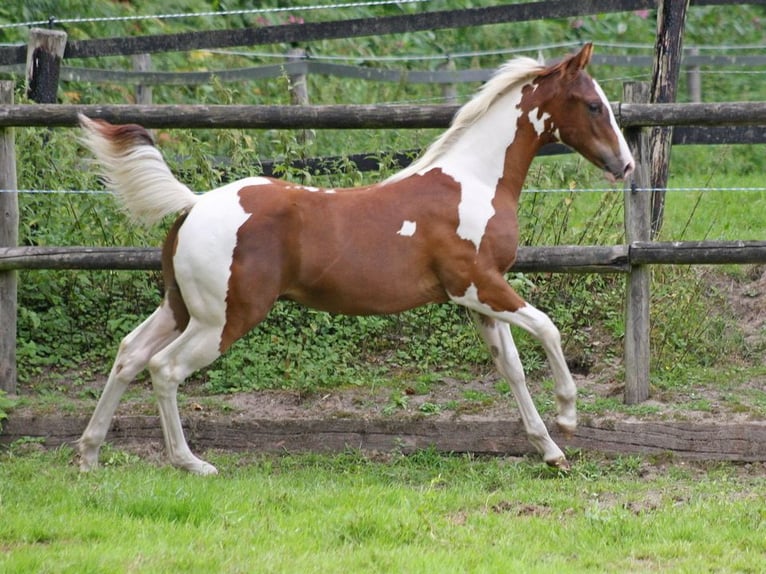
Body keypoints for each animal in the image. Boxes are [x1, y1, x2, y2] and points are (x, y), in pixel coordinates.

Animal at [76, 43, 634, 475]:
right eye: (592, 105)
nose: (625, 164)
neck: (473, 181)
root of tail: (193, 204)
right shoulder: (478, 284)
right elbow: (548, 328)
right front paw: (567, 417)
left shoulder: (478, 300)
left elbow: (511, 369)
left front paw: (550, 451)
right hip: (224, 318)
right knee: (164, 368)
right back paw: (190, 462)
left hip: (180, 307)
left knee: (129, 354)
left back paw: (88, 453)